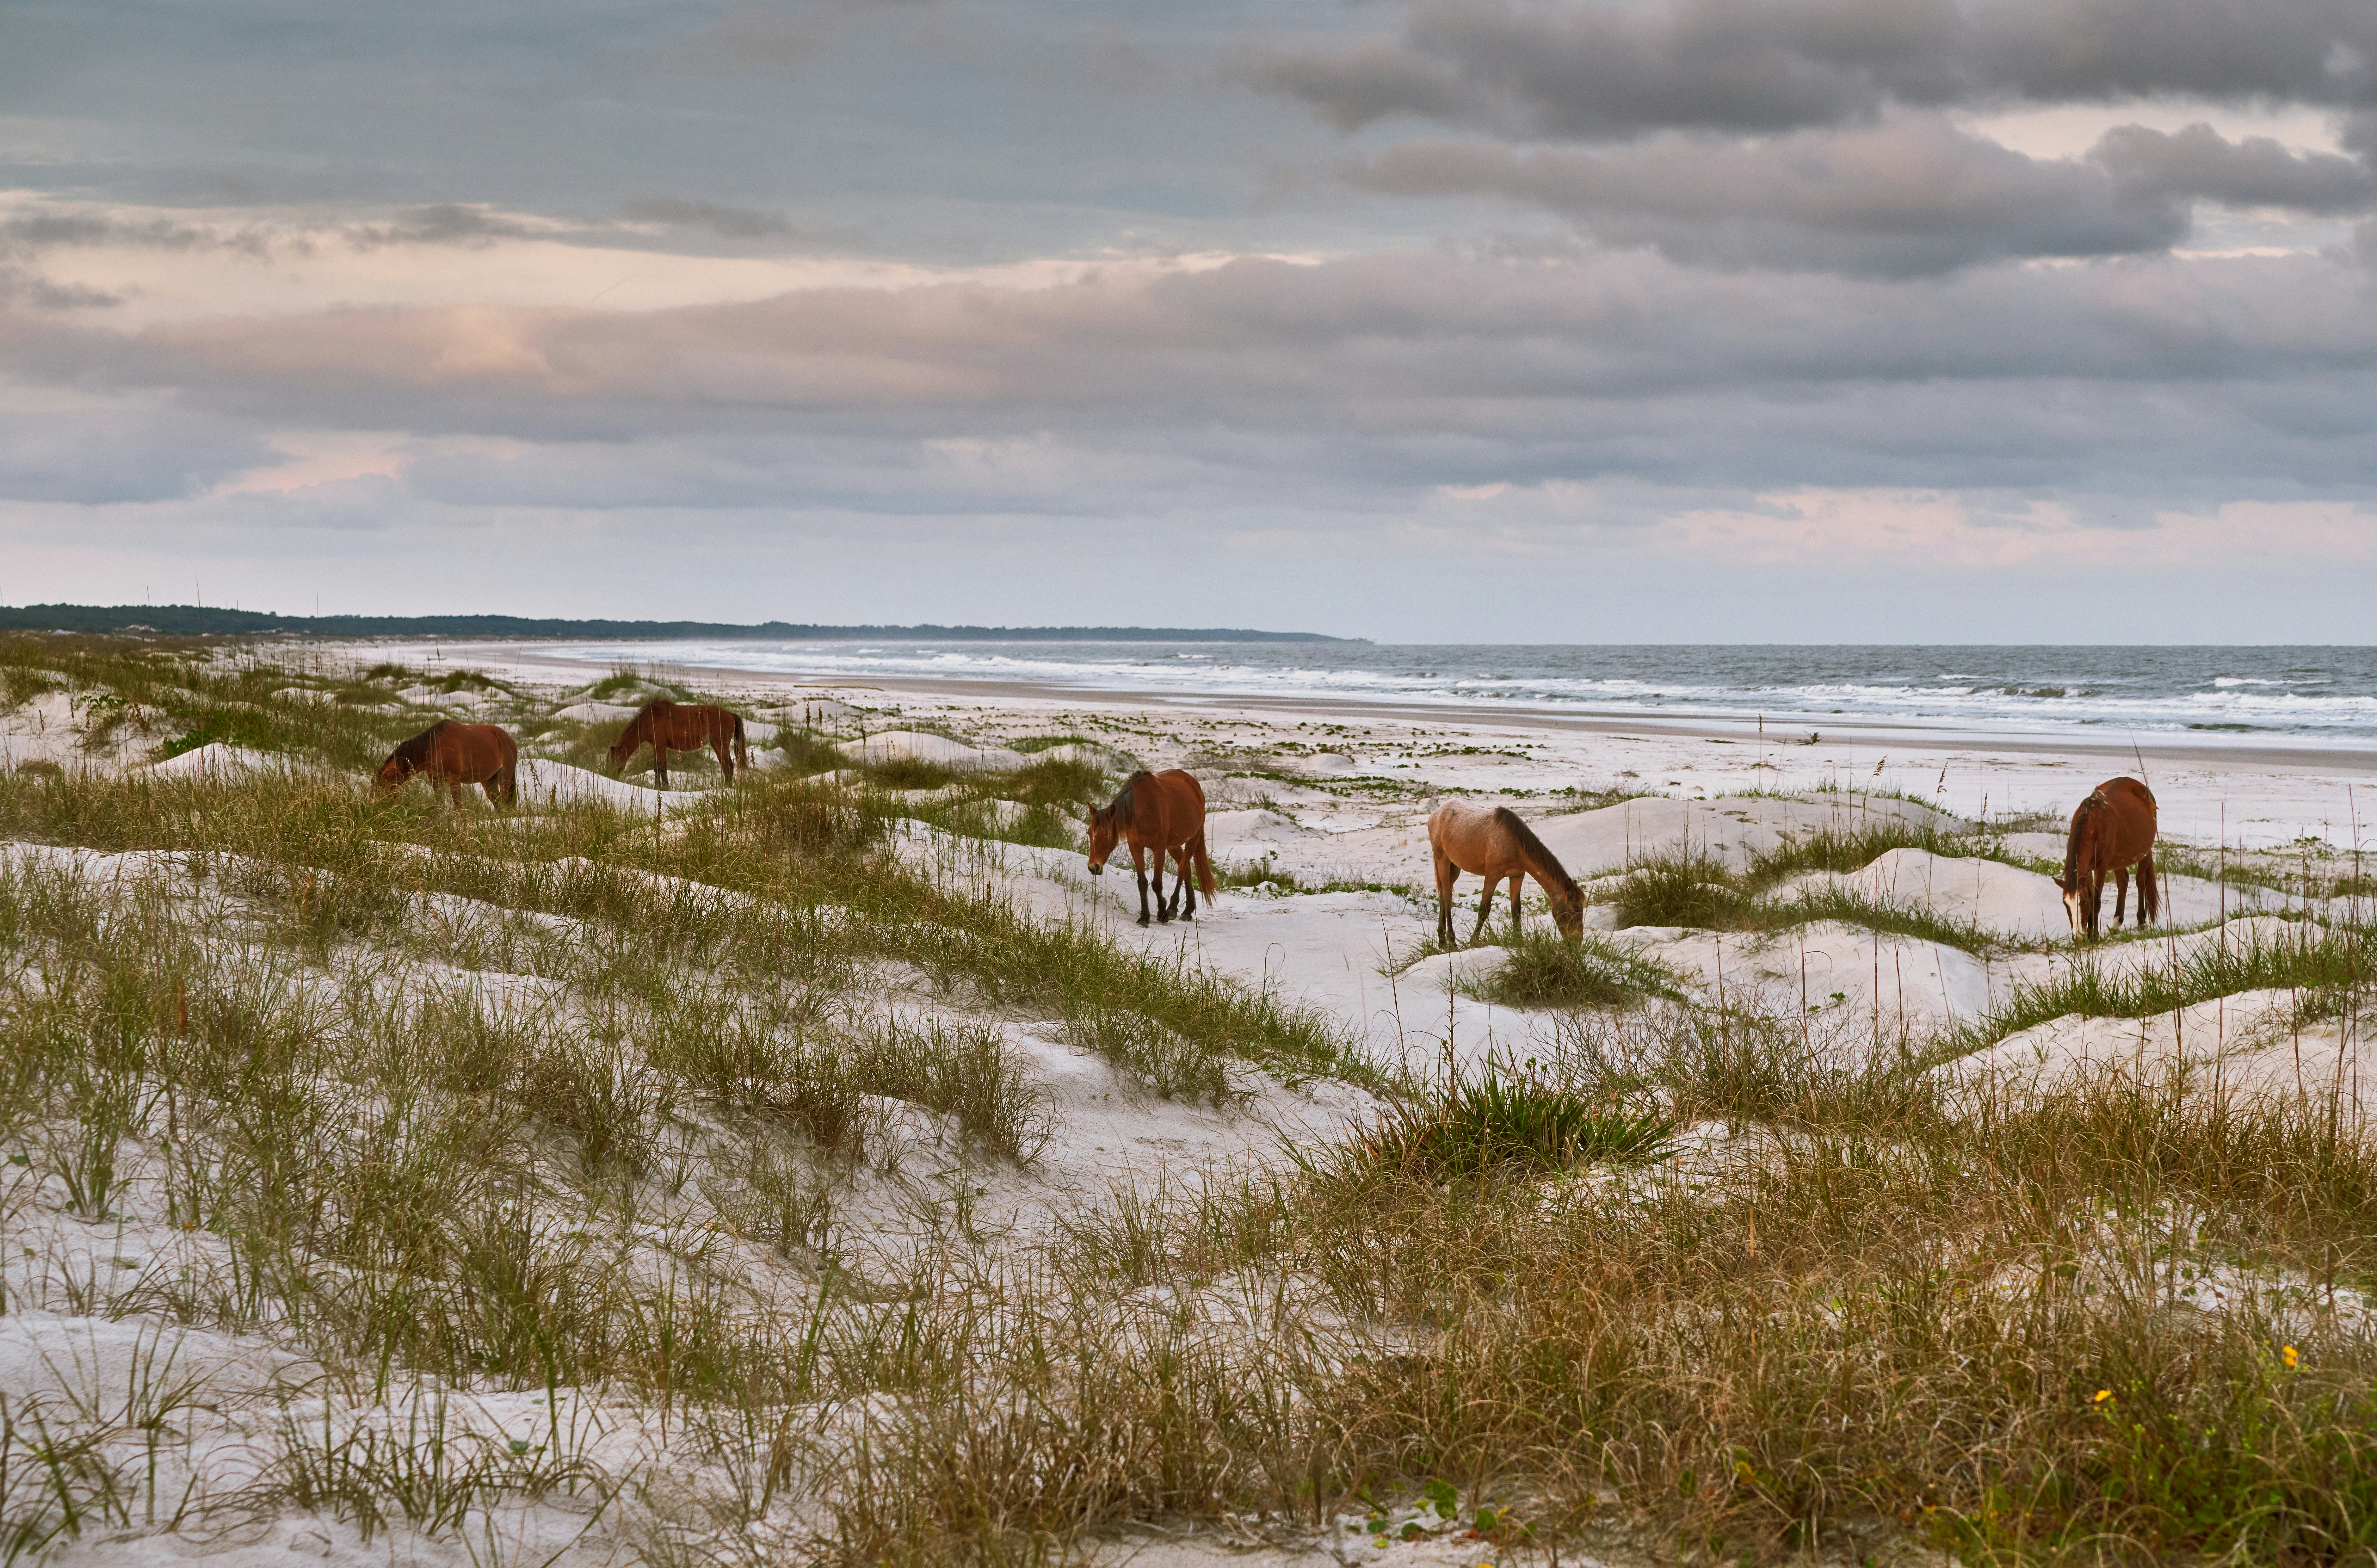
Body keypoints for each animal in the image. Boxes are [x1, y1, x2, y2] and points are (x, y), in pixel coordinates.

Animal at [373, 717, 518, 803]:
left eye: (382, 788)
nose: (378, 807)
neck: (434, 748)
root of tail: (510, 740)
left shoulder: (454, 780)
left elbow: (458, 806)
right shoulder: (435, 779)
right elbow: (440, 804)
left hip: (505, 778)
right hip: (489, 781)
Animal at [613, 703, 751, 789]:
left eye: (611, 760)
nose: (611, 774)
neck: (649, 719)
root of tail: (730, 714)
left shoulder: (660, 745)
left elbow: (661, 767)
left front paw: (662, 787)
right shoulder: (657, 746)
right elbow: (658, 767)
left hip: (721, 744)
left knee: (729, 765)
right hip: (716, 744)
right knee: (725, 766)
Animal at [1089, 769, 1217, 926]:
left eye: (1106, 835)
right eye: (1089, 833)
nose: (1093, 867)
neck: (1143, 810)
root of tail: (1195, 786)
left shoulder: (1159, 849)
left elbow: (1157, 884)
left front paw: (1163, 914)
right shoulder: (1136, 848)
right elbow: (1142, 883)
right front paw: (1145, 918)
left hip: (1193, 839)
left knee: (1182, 869)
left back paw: (1173, 908)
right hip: (1174, 846)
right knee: (1186, 868)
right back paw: (1188, 910)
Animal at [1417, 803, 1588, 950]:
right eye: (1575, 909)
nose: (1577, 942)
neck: (1515, 845)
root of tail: (1437, 812)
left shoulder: (1518, 876)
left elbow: (1516, 909)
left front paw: (1519, 941)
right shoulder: (1492, 876)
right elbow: (1484, 909)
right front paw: (1474, 942)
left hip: (1455, 866)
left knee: (1444, 894)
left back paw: (1442, 940)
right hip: (1443, 860)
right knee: (1446, 895)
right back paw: (1451, 941)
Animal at [2053, 774, 2168, 936]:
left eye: (2083, 902)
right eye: (2065, 904)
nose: (2078, 938)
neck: (2093, 825)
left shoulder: (2101, 867)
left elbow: (2096, 901)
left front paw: (2094, 936)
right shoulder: (2088, 869)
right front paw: (2091, 933)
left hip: (2145, 853)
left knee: (2140, 881)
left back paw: (2141, 922)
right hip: (2119, 860)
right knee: (2123, 882)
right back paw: (2116, 923)